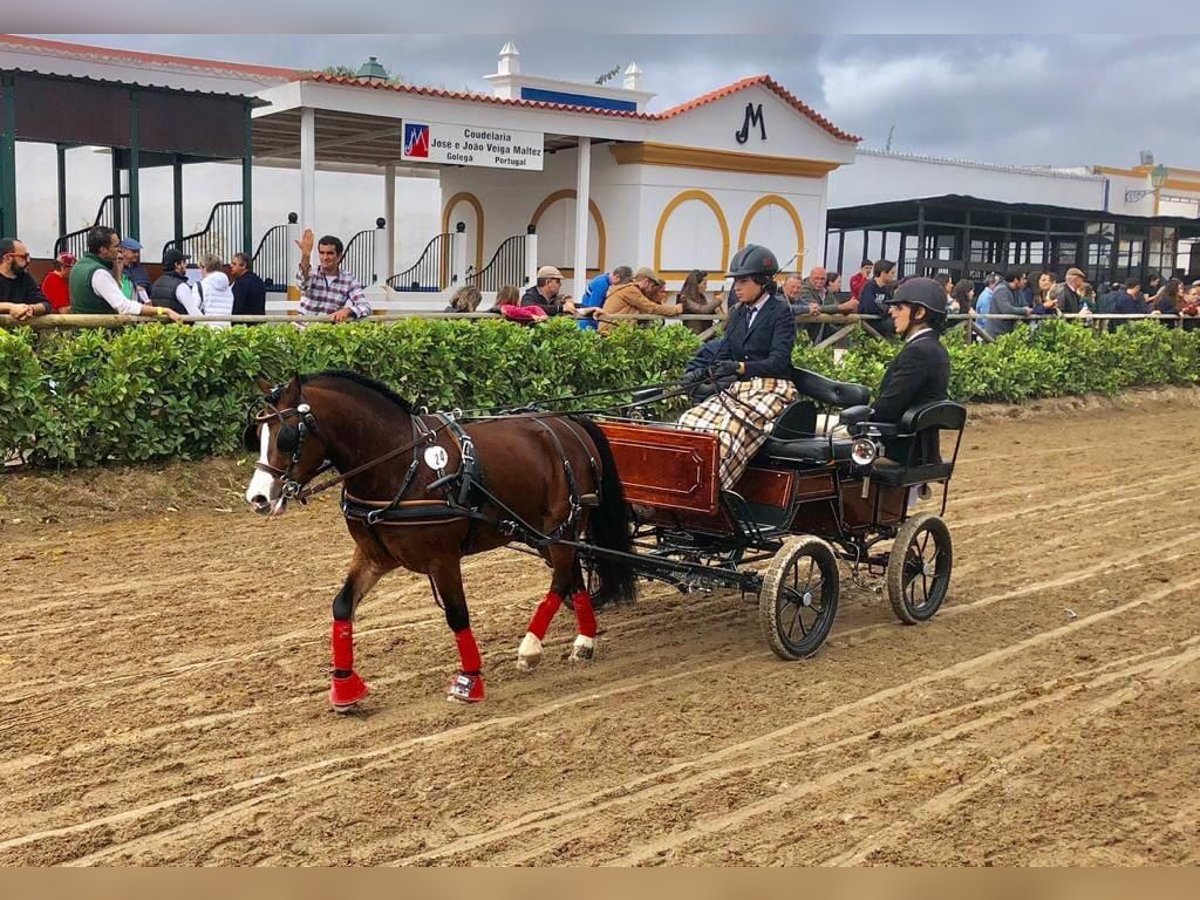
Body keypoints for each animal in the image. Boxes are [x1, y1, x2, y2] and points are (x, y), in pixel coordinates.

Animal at [241, 374, 638, 710]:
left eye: (286, 437)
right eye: (256, 433)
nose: (257, 498)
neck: (403, 463)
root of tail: (570, 423)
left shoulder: (442, 559)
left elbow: (457, 615)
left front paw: (469, 681)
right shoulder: (373, 556)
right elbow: (342, 606)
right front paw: (344, 688)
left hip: (562, 526)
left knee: (561, 578)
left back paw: (531, 648)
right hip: (542, 533)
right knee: (572, 575)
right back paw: (584, 642)